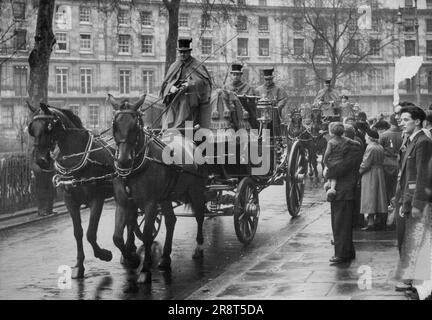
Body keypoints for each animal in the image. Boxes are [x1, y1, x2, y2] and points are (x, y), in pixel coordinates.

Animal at [109, 94, 208, 284]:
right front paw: (132, 259)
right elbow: (117, 237)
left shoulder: (150, 203)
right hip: (166, 197)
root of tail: (190, 143)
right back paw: (165, 257)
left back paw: (199, 247)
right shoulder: (124, 203)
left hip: (196, 190)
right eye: (115, 126)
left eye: (135, 126)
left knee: (200, 215)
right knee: (171, 221)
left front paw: (145, 268)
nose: (123, 161)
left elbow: (147, 234)